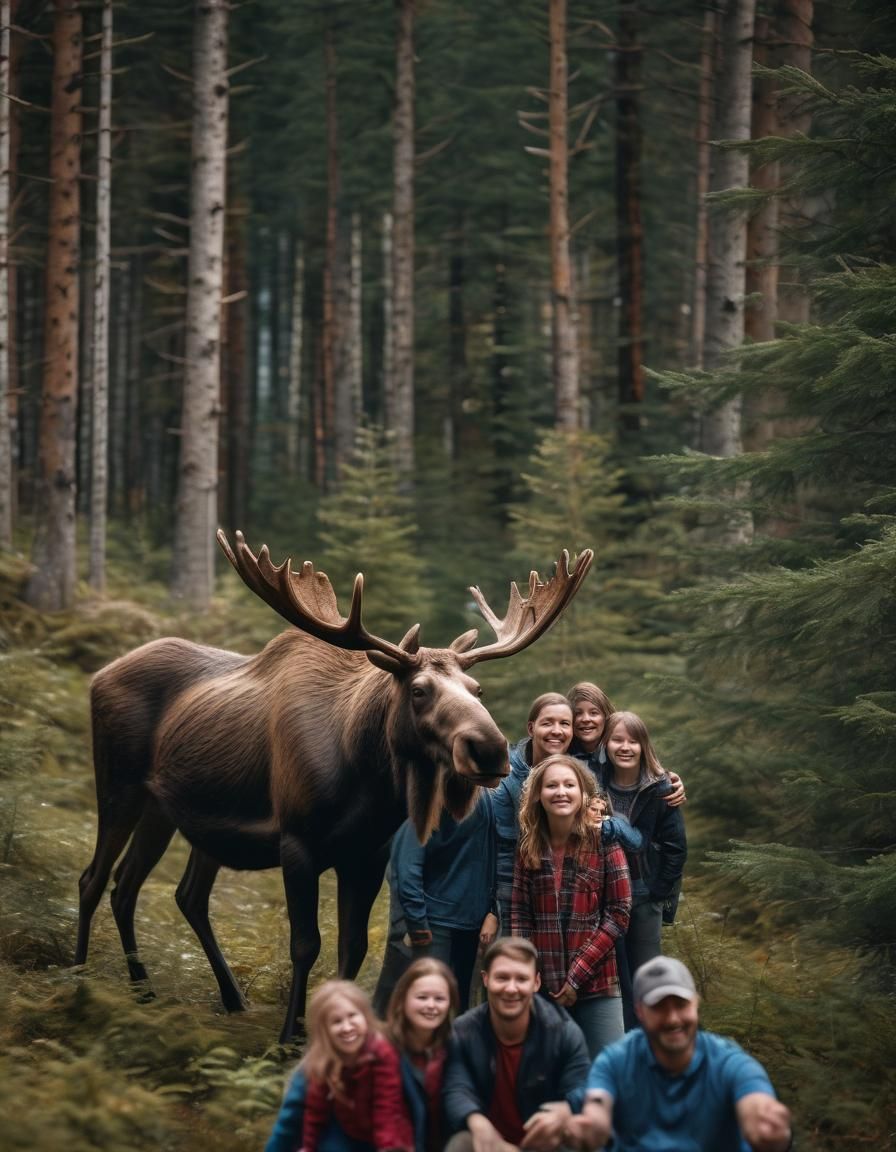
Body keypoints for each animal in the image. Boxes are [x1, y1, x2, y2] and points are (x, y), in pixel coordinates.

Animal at [74, 530, 593, 1041]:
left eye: (477, 689)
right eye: (418, 690)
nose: (488, 748)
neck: (364, 785)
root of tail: (98, 676)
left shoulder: (366, 854)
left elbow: (353, 947)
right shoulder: (296, 841)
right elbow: (306, 944)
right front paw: (291, 1036)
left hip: (174, 813)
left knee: (163, 892)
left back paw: (185, 994)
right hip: (120, 786)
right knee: (94, 878)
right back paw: (78, 981)